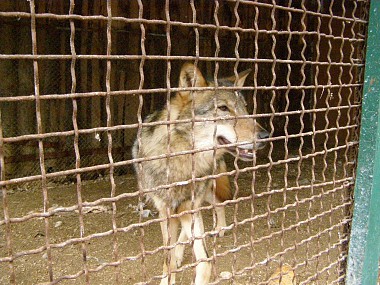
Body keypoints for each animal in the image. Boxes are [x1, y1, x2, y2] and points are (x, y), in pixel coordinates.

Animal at [132, 63, 268, 282]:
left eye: (245, 108)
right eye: (223, 108)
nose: (265, 135)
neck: (182, 162)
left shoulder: (190, 206)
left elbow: (204, 261)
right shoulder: (165, 211)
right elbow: (168, 257)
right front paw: (168, 275)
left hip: (204, 194)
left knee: (218, 204)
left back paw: (220, 228)